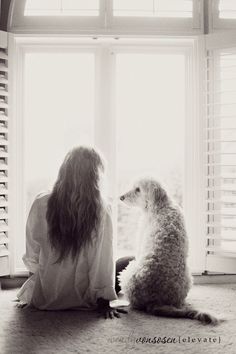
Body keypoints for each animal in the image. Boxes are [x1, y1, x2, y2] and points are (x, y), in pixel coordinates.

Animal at [120, 178, 219, 324]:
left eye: (138, 189)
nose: (121, 197)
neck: (162, 205)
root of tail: (156, 301)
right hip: (189, 279)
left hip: (127, 273)